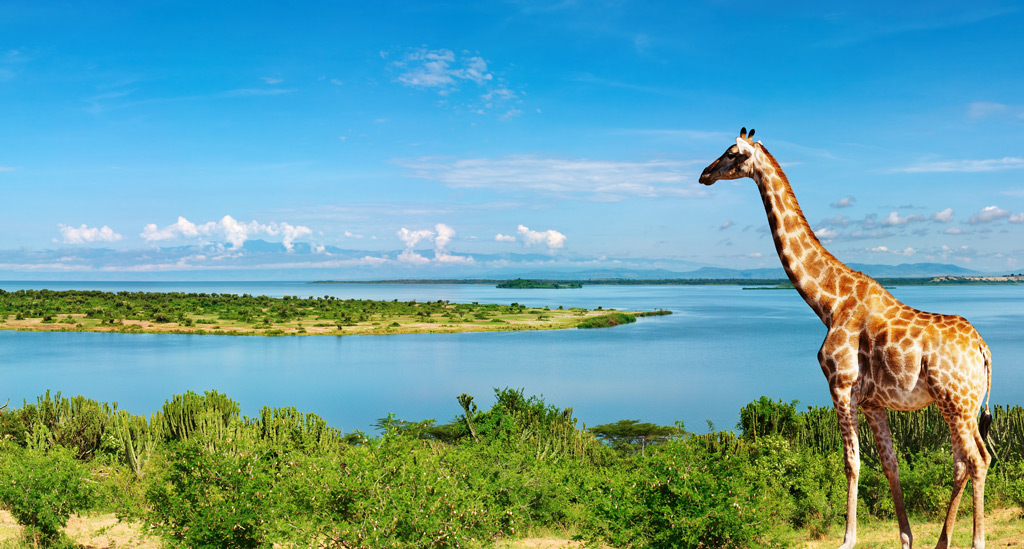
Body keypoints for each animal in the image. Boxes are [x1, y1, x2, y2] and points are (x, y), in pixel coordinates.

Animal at [696, 127, 991, 549]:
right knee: (965, 461)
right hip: (958, 405)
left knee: (976, 460)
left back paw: (976, 540)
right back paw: (942, 541)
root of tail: (983, 348)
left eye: (733, 153)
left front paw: (847, 538)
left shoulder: (841, 384)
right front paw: (906, 537)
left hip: (957, 401)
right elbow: (889, 464)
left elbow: (851, 462)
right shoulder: (872, 402)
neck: (828, 302)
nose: (704, 174)